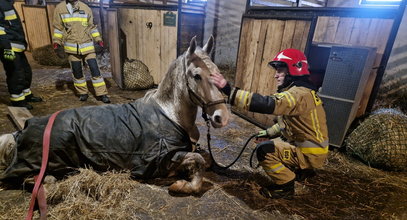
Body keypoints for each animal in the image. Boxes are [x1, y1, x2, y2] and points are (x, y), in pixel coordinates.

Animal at [0, 35, 230, 194]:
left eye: (218, 72)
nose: (221, 117)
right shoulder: (161, 159)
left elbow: (203, 159)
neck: (170, 114)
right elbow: (198, 160)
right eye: (196, 75)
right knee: (32, 179)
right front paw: (181, 185)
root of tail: (20, 133)